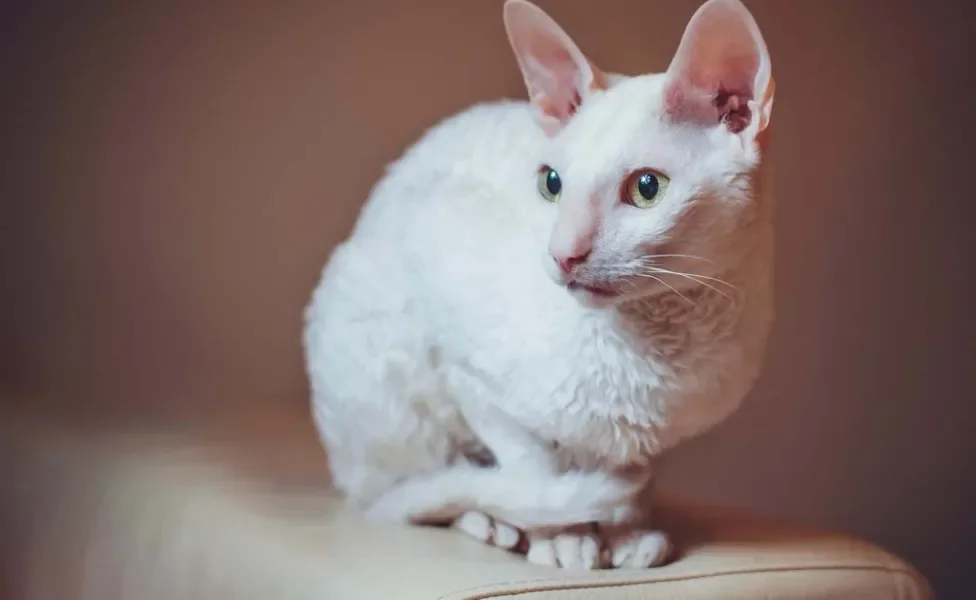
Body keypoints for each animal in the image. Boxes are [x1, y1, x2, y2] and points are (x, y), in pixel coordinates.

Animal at [302, 0, 772, 568]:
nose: (562, 253)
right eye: (551, 184)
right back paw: (491, 521)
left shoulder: (649, 439)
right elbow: (536, 468)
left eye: (646, 188)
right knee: (413, 490)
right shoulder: (469, 376)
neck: (655, 351)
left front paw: (627, 534)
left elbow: (629, 473)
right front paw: (565, 538)